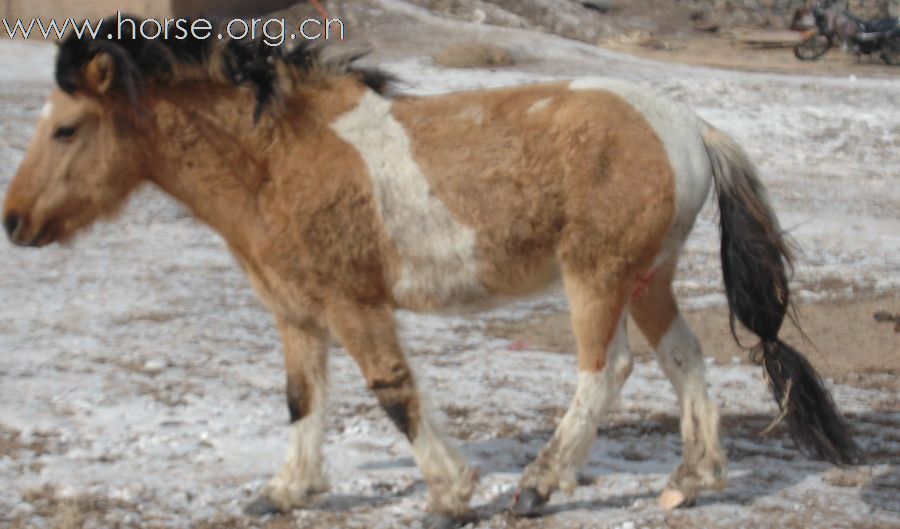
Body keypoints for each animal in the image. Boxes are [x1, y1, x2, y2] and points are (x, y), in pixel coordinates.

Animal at [1, 18, 856, 524]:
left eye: (67, 128)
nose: (12, 221)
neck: (277, 158)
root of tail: (691, 126)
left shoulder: (354, 303)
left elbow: (392, 392)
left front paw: (452, 491)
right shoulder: (296, 311)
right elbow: (300, 397)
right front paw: (285, 489)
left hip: (599, 276)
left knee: (604, 368)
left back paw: (539, 485)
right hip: (649, 277)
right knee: (686, 357)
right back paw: (695, 476)